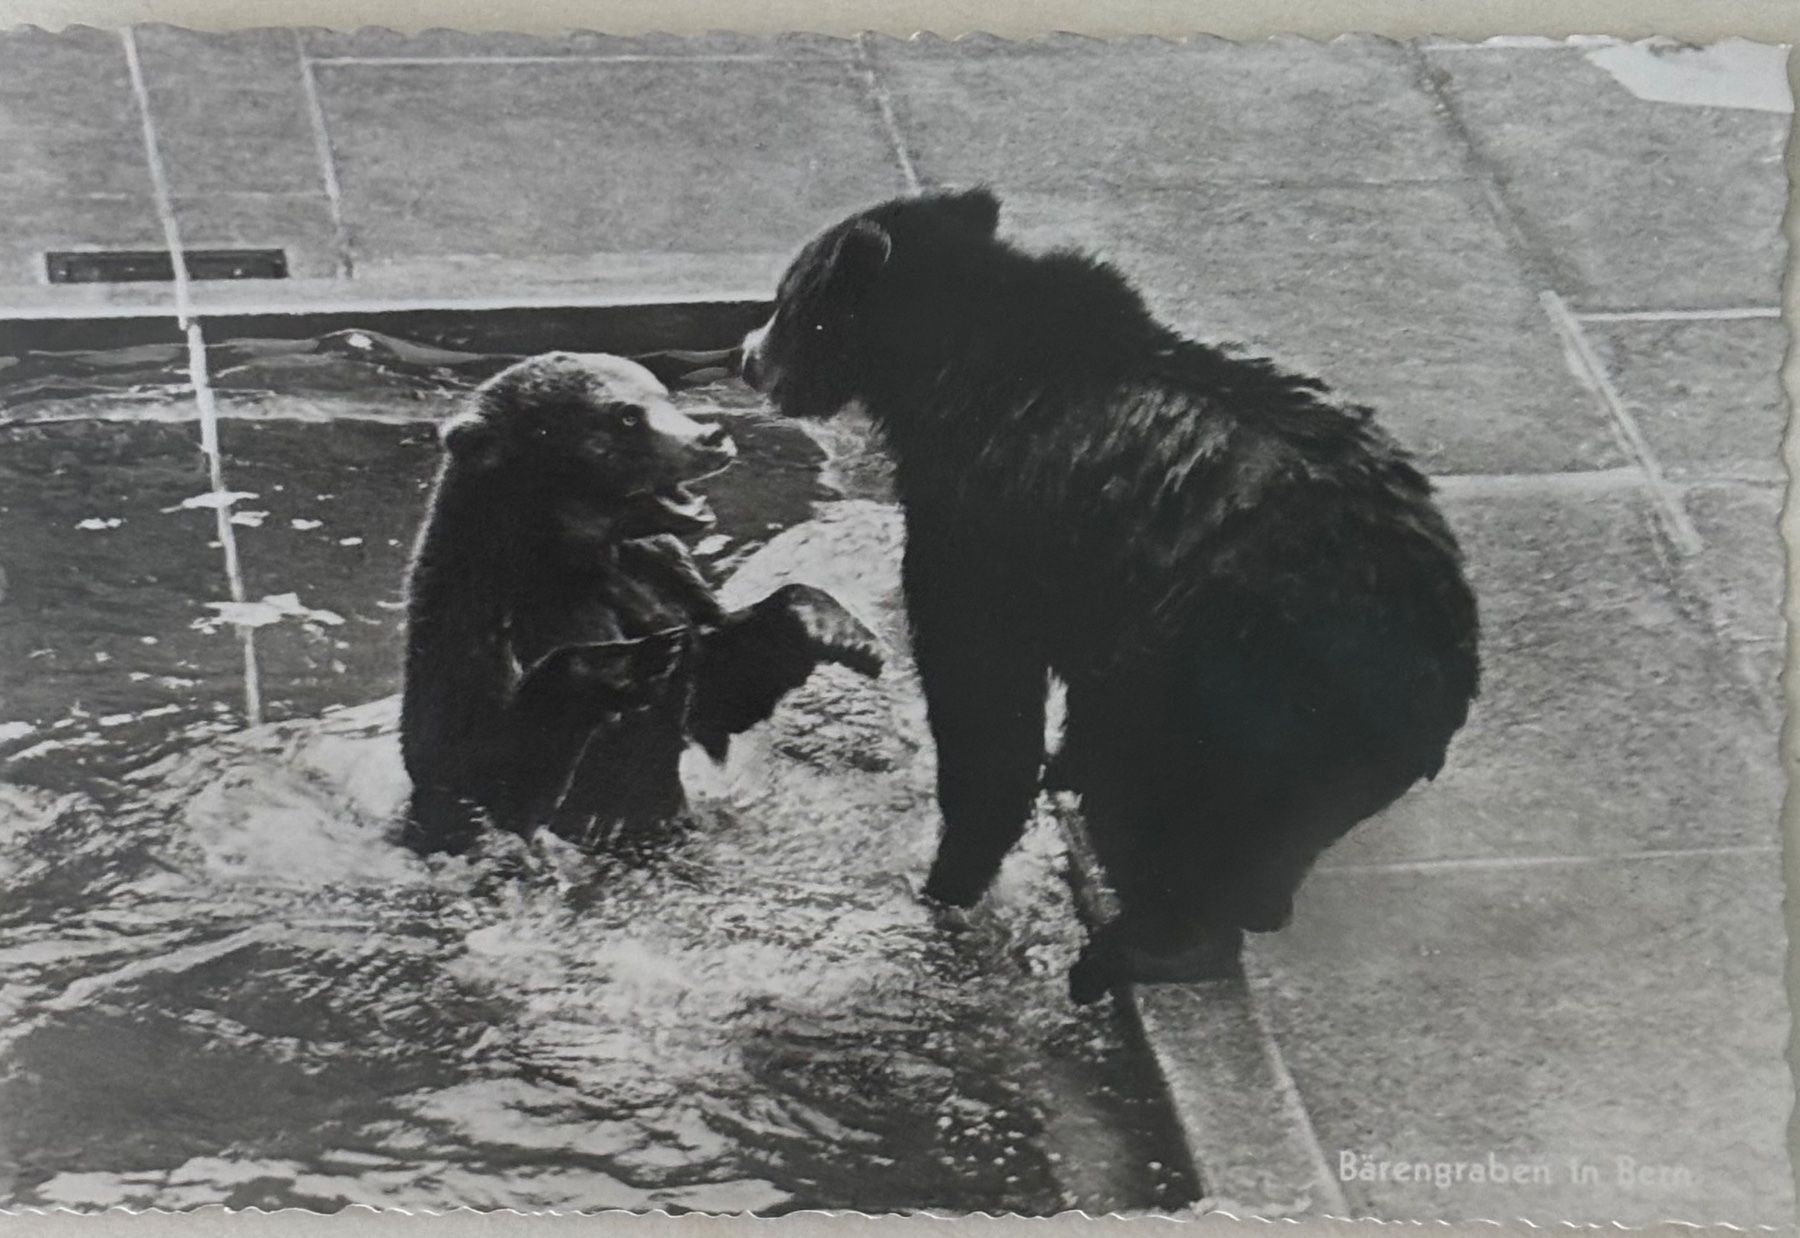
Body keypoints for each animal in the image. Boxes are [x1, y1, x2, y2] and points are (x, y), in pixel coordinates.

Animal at [400, 351, 883, 858]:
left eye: (662, 395)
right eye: (627, 416)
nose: (711, 436)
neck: (575, 555)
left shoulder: (659, 571)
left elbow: (720, 687)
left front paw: (843, 633)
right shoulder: (482, 615)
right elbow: (478, 765)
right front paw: (640, 659)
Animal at [739, 188, 1480, 1004]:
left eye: (788, 303)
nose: (747, 357)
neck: (944, 375)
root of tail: (1435, 658)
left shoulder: (983, 523)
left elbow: (982, 697)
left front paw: (947, 876)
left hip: (1229, 678)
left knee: (1164, 793)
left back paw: (1137, 946)